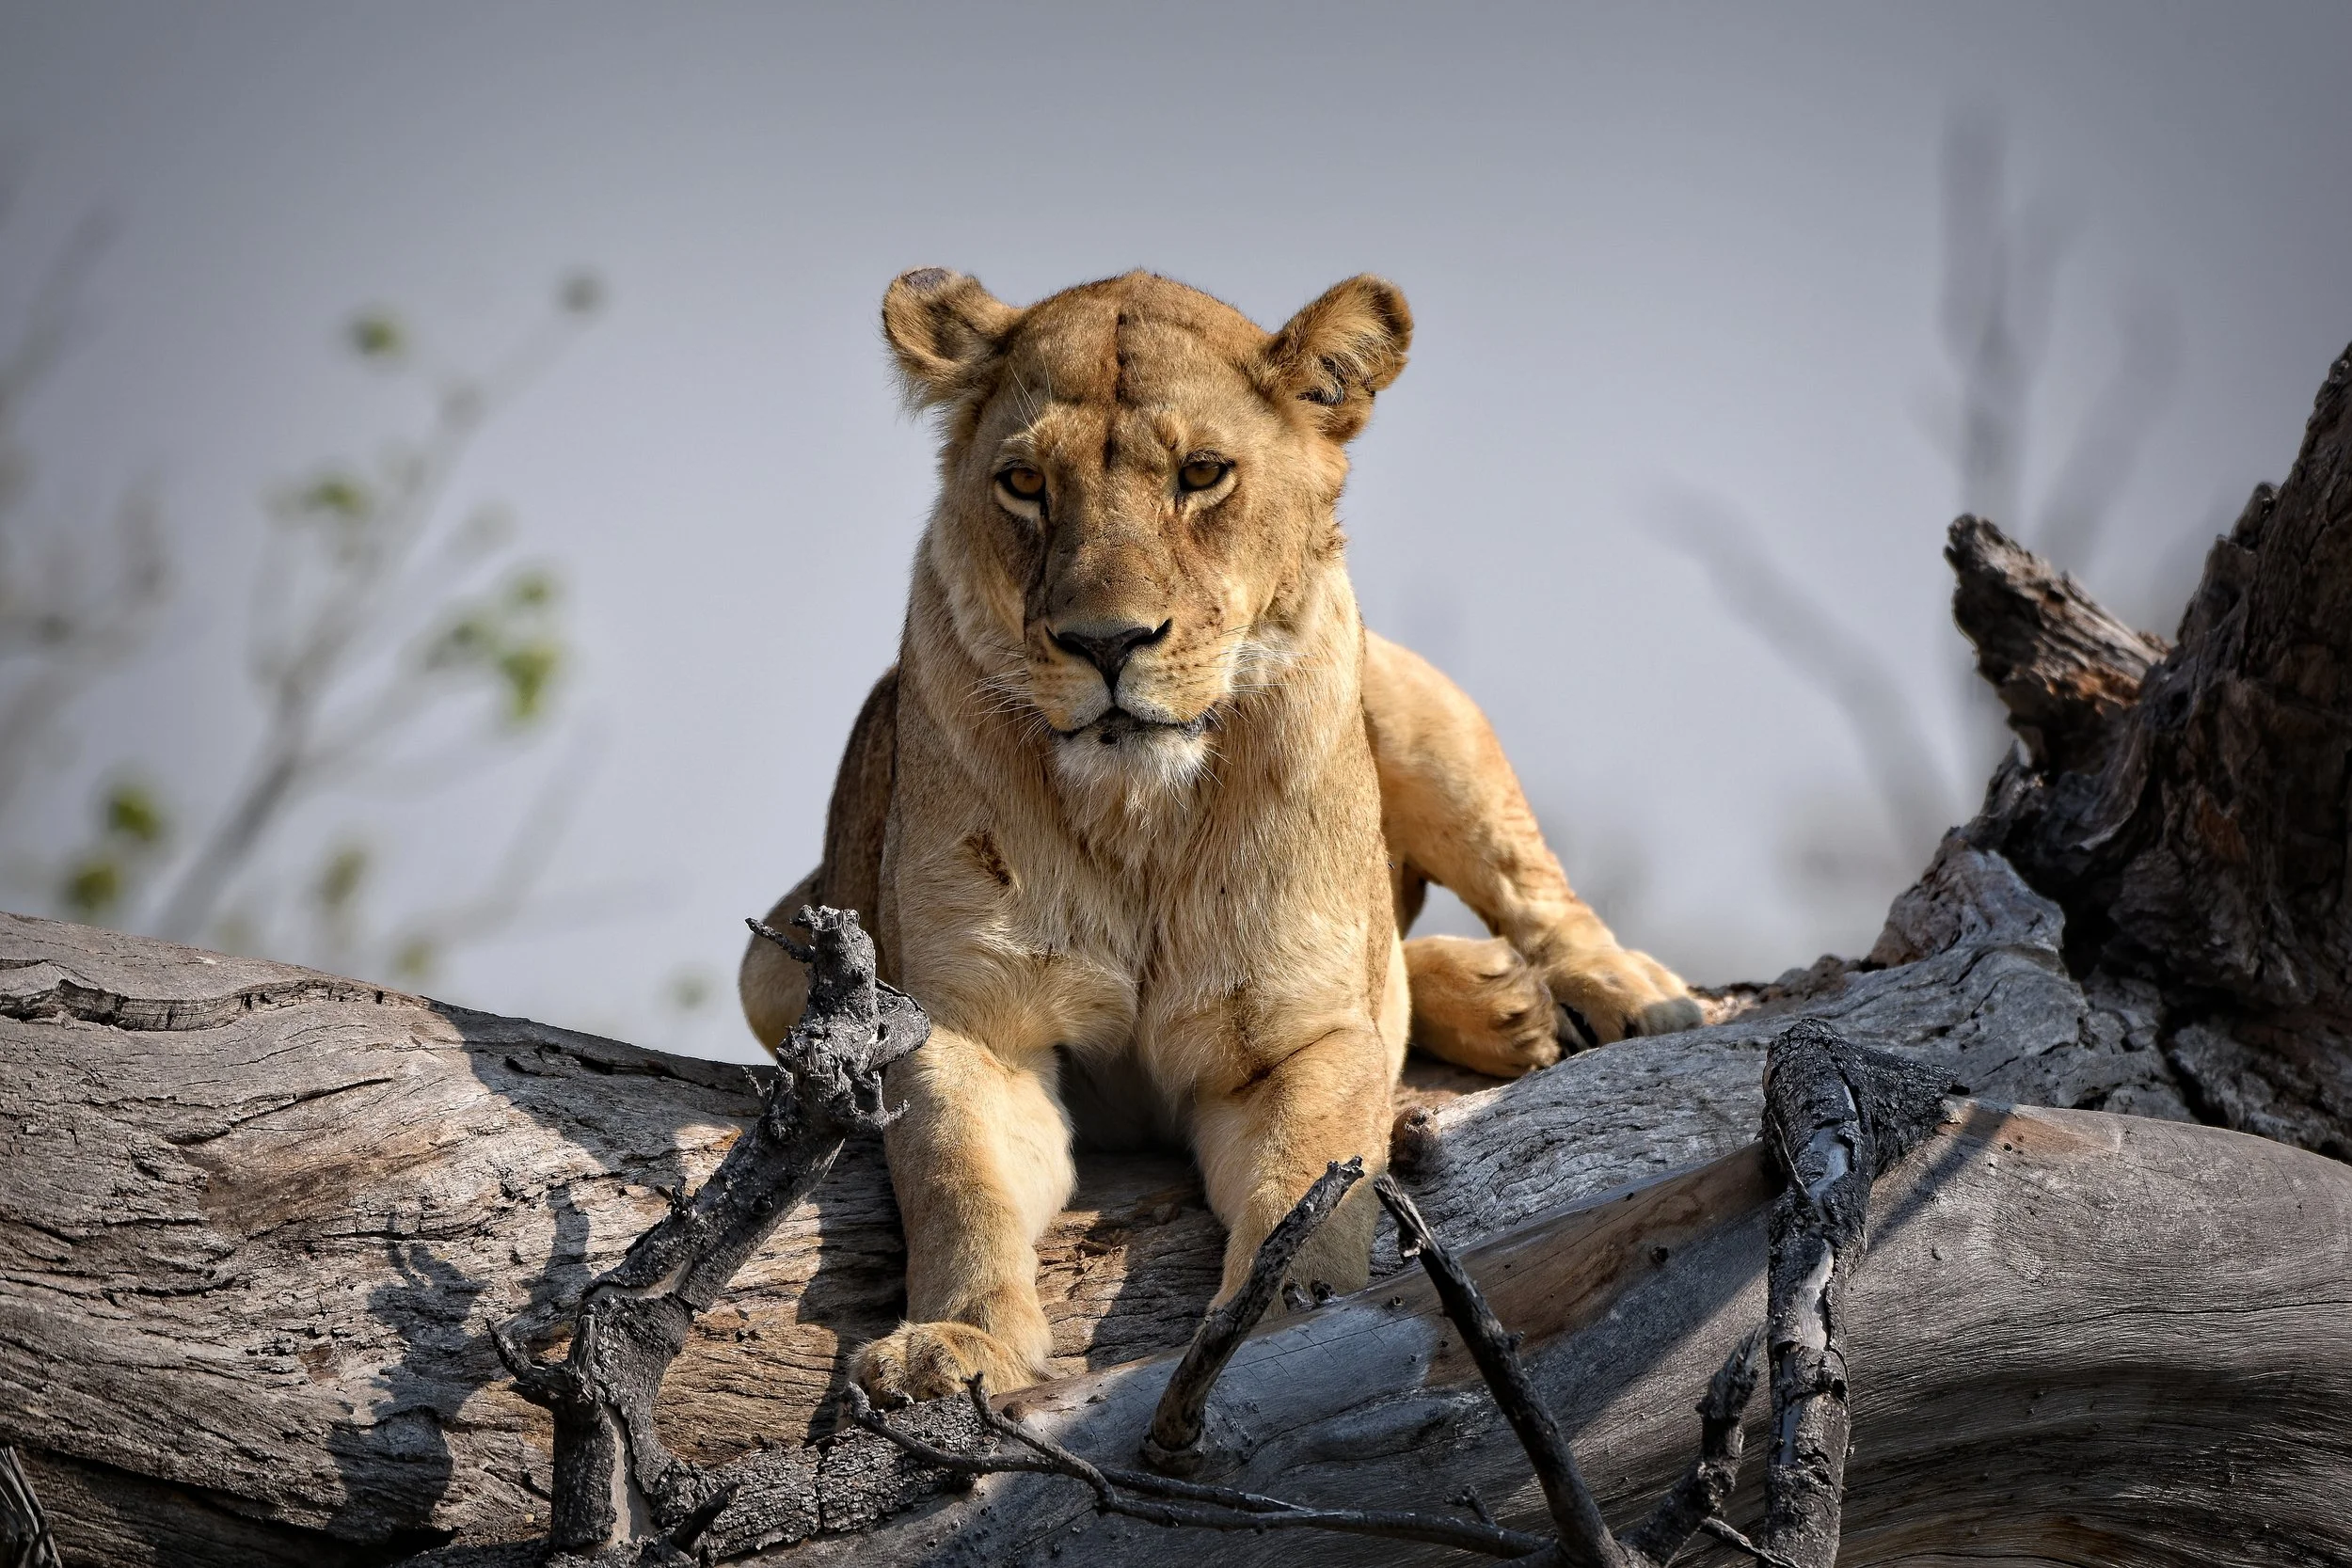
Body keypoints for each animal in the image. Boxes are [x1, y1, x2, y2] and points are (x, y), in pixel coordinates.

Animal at [738, 267, 1700, 1405]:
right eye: (1023, 483)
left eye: (1201, 474)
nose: (1106, 642)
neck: (1140, 819)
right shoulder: (973, 1029)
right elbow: (955, 1181)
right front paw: (955, 1340)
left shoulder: (1305, 1036)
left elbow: (1308, 1194)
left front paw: (1280, 1335)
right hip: (771, 963)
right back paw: (1503, 1003)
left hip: (1421, 711)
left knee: (1522, 892)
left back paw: (1626, 994)